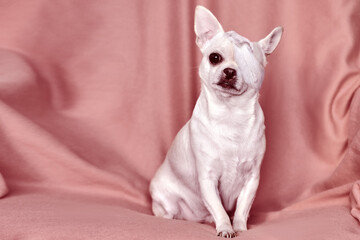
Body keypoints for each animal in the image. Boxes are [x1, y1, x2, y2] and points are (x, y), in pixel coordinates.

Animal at [150, 5, 284, 238]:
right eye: (215, 57)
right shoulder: (208, 179)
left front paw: (239, 226)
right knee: (167, 211)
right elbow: (219, 208)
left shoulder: (252, 180)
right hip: (163, 196)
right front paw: (225, 227)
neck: (230, 114)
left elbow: (242, 208)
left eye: (249, 65)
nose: (229, 71)